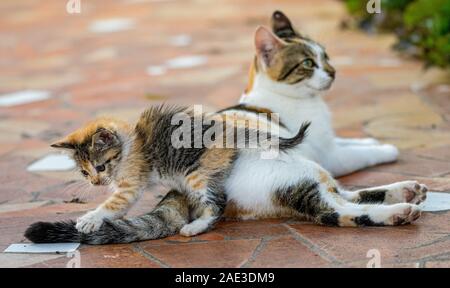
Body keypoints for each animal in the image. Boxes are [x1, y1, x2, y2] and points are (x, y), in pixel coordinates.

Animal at [26, 104, 428, 244]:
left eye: (100, 166)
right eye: (84, 173)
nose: (97, 181)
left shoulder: (133, 178)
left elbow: (116, 202)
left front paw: (91, 217)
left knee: (345, 209)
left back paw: (402, 203)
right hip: (303, 185)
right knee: (348, 203)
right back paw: (405, 199)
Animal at [221, 10, 398, 178]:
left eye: (325, 56)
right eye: (308, 63)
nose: (333, 72)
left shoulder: (328, 141)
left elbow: (344, 140)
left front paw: (369, 140)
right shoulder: (331, 157)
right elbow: (362, 154)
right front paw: (387, 149)